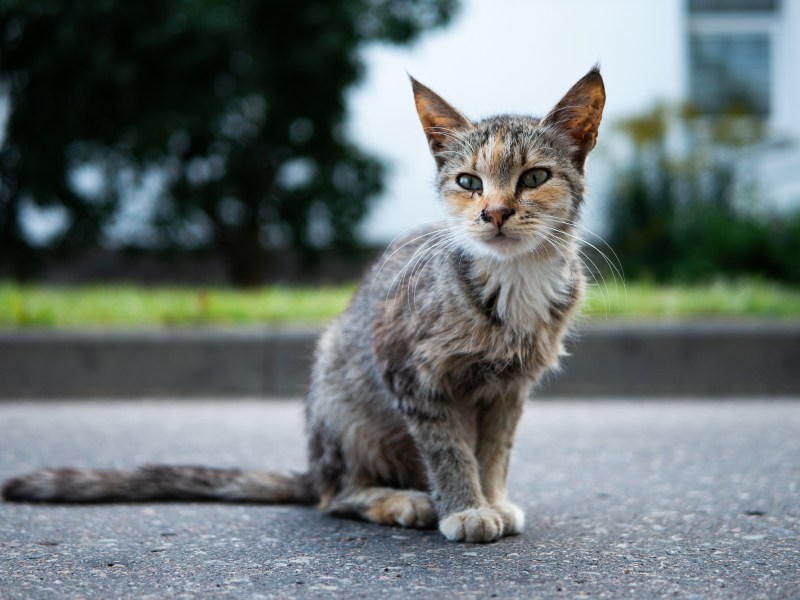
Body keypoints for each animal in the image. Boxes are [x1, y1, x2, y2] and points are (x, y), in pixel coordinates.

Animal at [3, 67, 608, 544]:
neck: (511, 282)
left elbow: (494, 450)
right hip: (342, 401)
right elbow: (449, 450)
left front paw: (493, 498)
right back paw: (399, 500)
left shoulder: (509, 390)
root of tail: (313, 466)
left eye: (534, 177)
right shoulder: (409, 371)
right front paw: (466, 508)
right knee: (333, 496)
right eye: (468, 181)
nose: (495, 213)